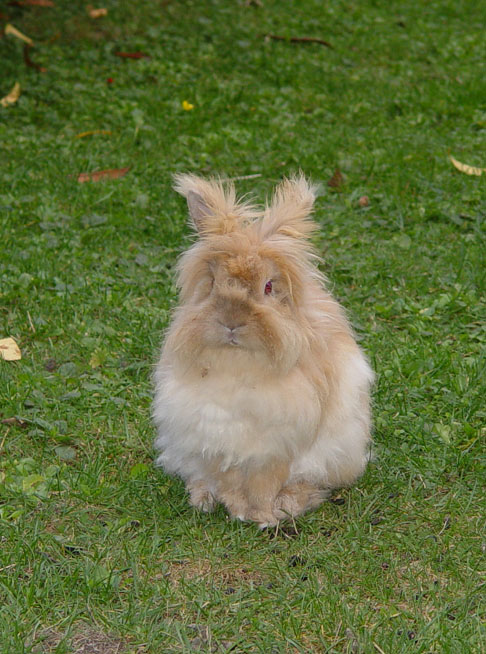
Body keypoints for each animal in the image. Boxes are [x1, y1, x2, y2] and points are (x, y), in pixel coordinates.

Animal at [154, 173, 374, 528]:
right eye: (213, 283)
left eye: (269, 287)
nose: (231, 322)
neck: (239, 364)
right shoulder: (217, 442)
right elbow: (231, 484)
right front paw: (239, 511)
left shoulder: (275, 448)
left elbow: (264, 486)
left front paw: (264, 517)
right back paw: (203, 499)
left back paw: (290, 504)